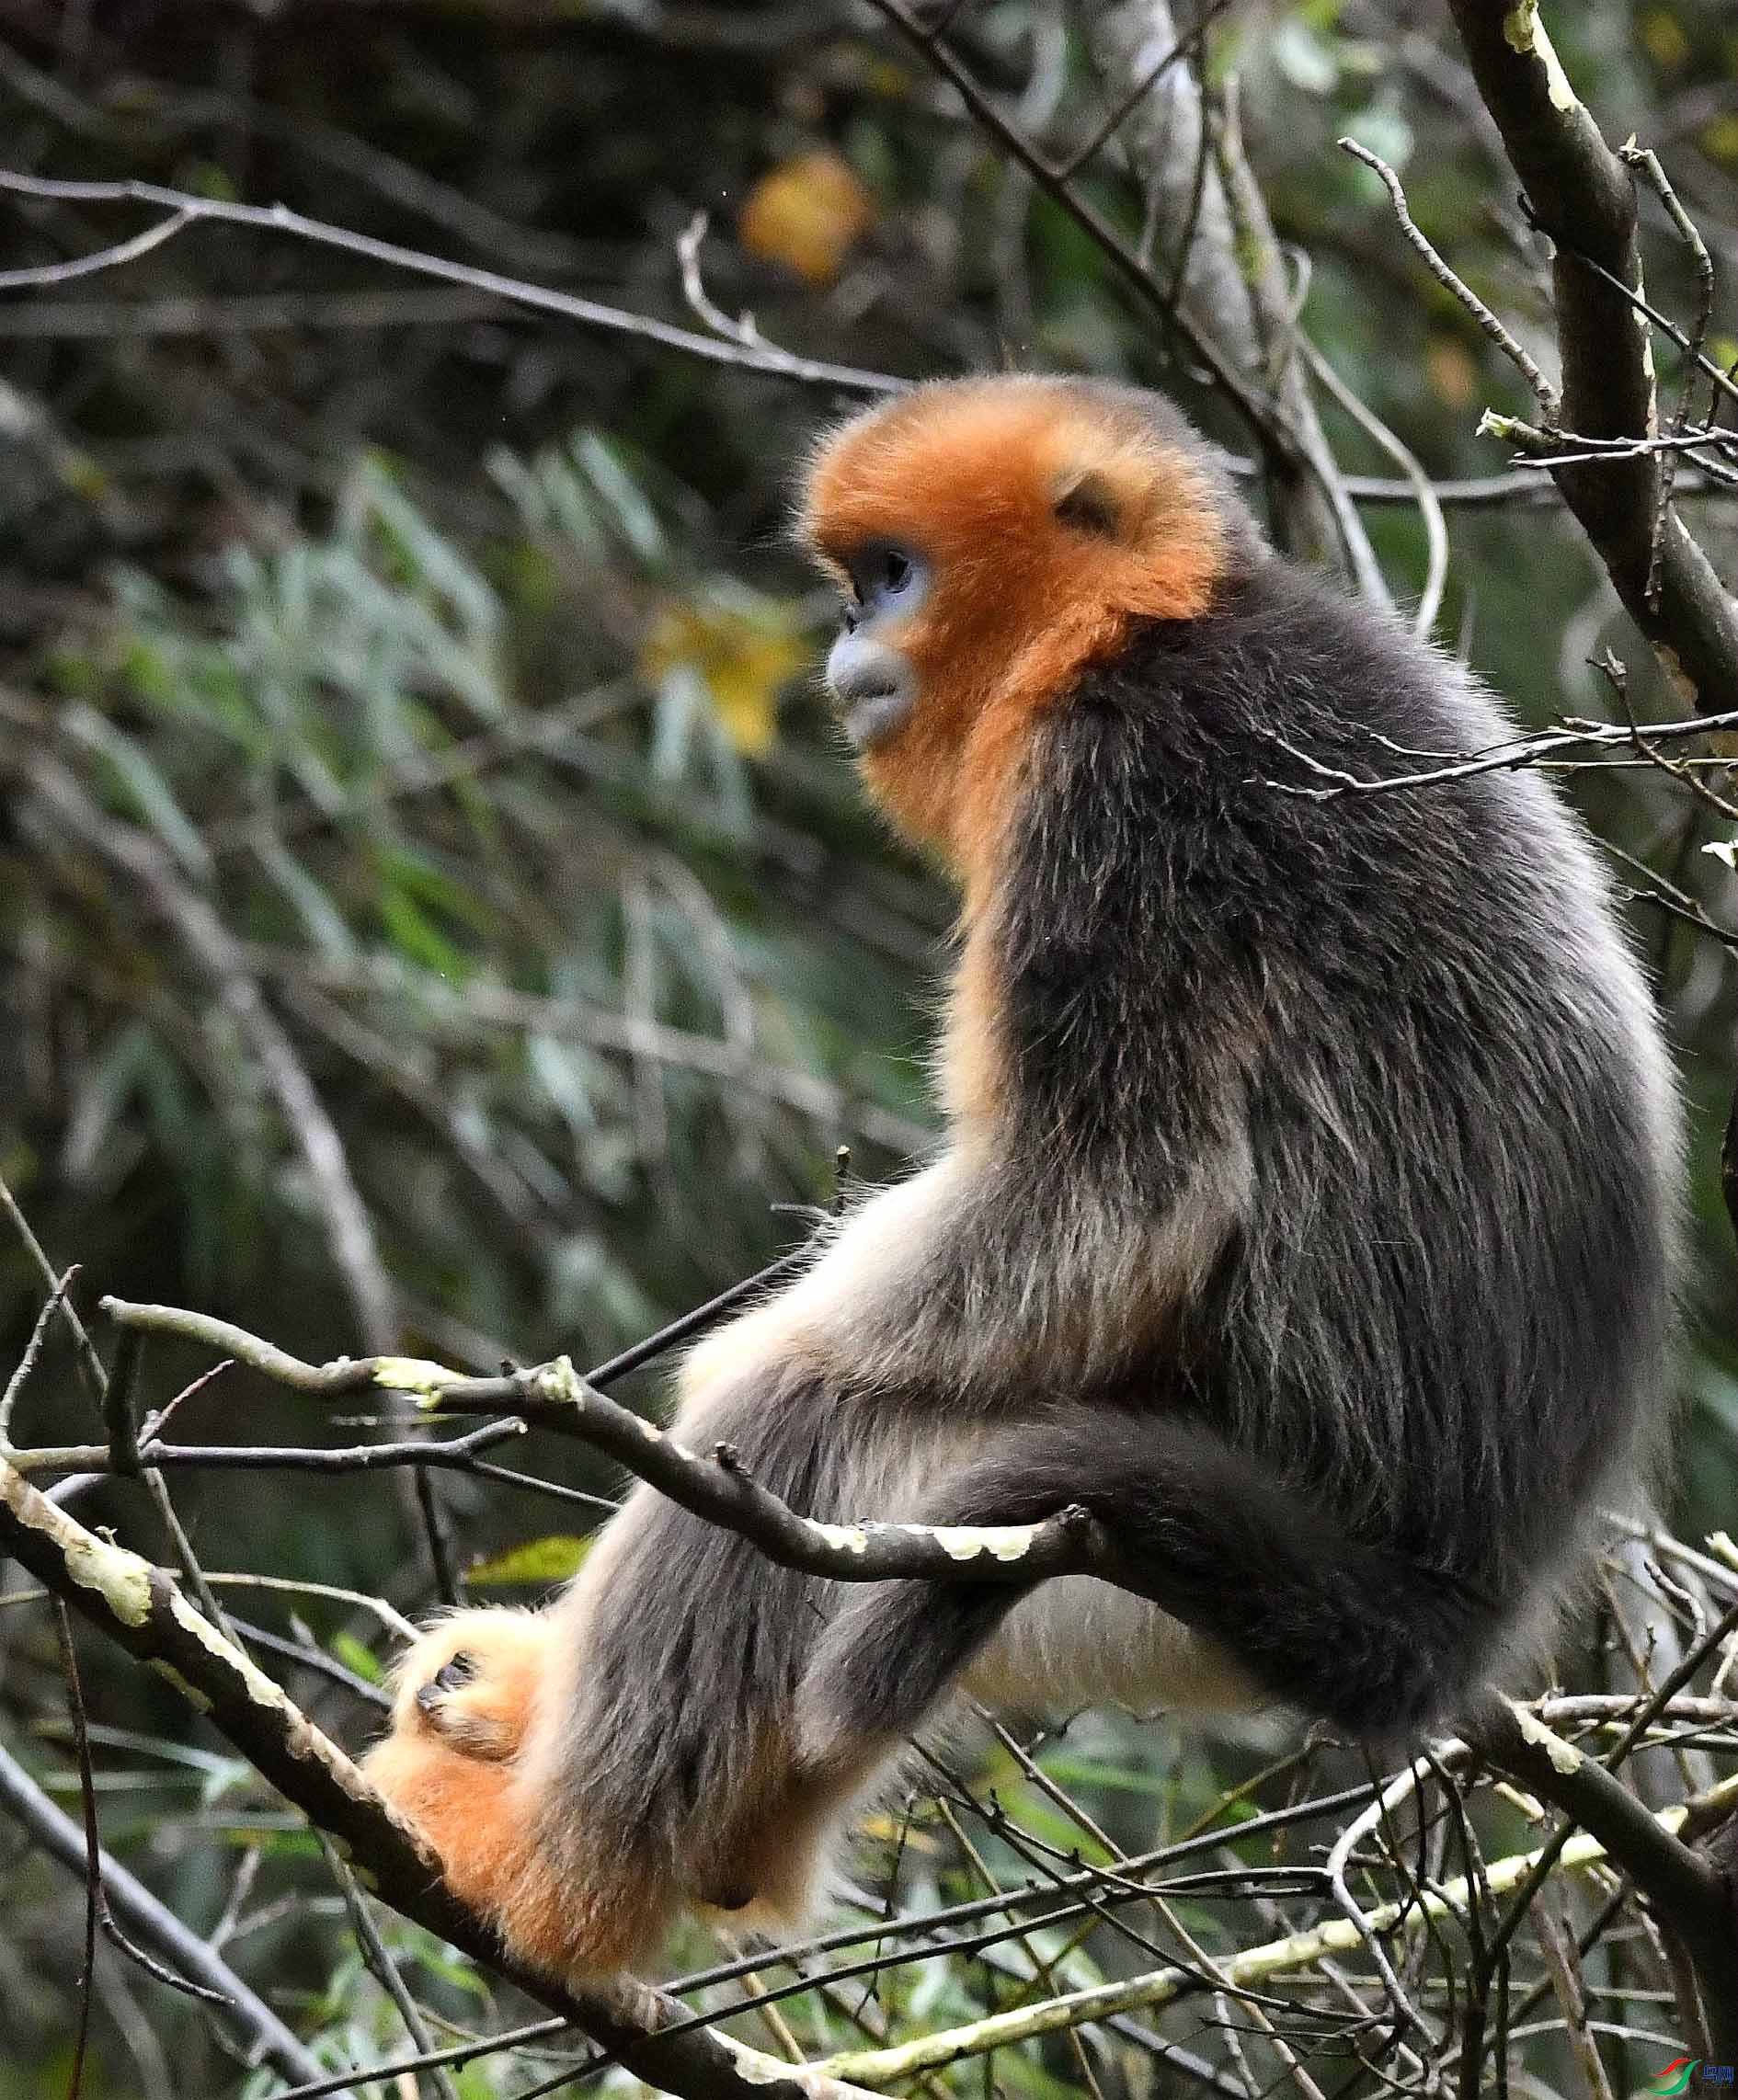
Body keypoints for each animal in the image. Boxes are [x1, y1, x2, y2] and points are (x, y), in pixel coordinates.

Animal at [367, 373, 1689, 1982]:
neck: (1153, 622)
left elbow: (1115, 1182)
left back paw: (556, 1875)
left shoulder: (1114, 784)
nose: (845, 637)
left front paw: (732, 1359)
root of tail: (1430, 1616)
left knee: (807, 1429)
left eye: (892, 575)